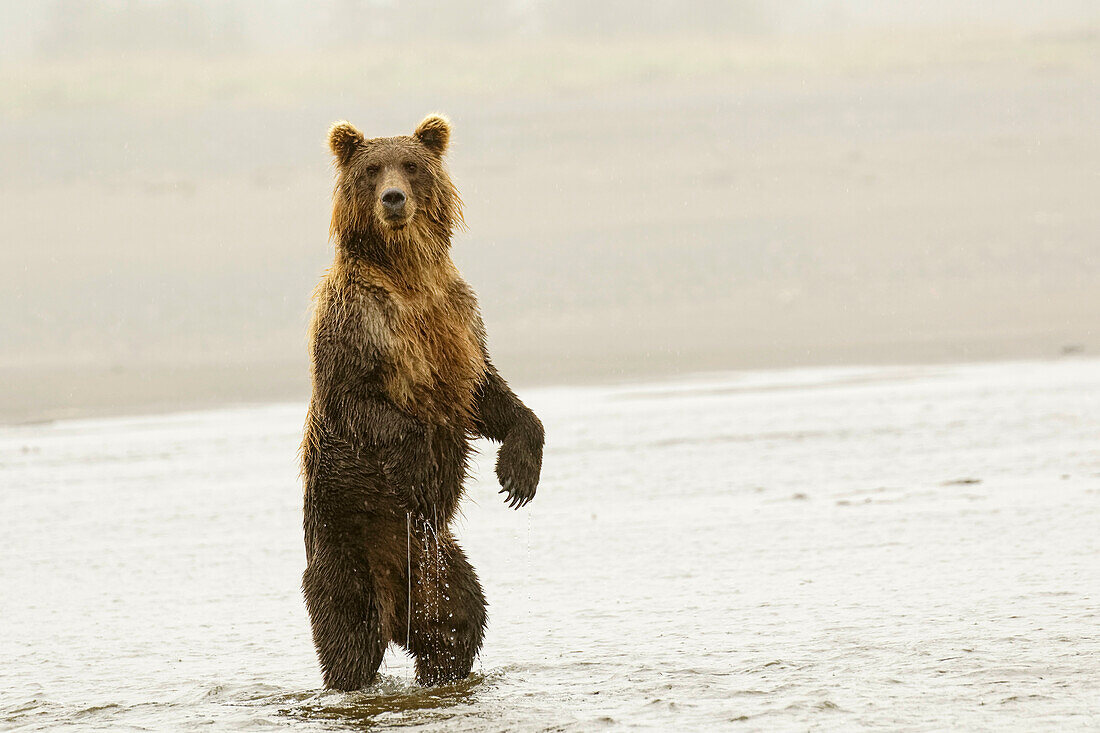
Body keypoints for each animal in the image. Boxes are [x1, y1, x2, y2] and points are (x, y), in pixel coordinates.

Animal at [301, 111, 545, 686]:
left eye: (411, 165)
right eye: (372, 169)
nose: (394, 198)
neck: (406, 272)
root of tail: (397, 605)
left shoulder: (457, 316)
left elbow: (488, 393)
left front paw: (518, 473)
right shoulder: (356, 321)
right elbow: (358, 400)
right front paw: (420, 465)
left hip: (439, 566)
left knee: (459, 625)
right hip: (346, 545)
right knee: (349, 636)